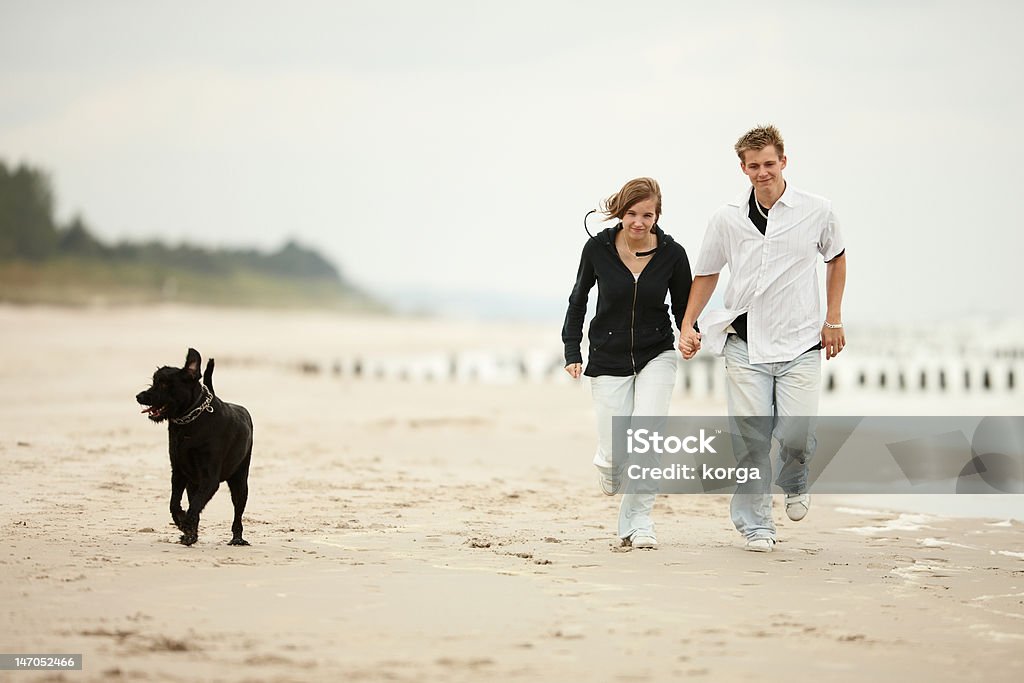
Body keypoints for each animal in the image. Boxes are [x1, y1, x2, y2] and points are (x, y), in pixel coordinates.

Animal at [135, 350, 252, 548]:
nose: (139, 396)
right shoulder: (179, 472)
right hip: (193, 483)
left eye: (164, 383)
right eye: (154, 381)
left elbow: (195, 505)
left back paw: (237, 539)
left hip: (240, 481)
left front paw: (187, 528)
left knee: (238, 512)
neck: (190, 422)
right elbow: (175, 504)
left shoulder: (209, 479)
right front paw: (185, 527)